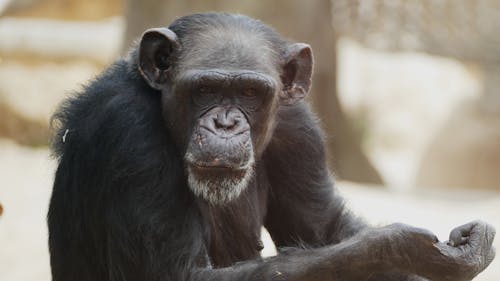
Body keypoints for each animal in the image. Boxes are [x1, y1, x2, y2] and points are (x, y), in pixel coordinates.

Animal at [47, 12, 496, 280]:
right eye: (204, 89)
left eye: (250, 92)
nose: (225, 123)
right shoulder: (129, 134)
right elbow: (181, 275)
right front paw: (403, 247)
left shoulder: (299, 131)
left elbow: (327, 230)